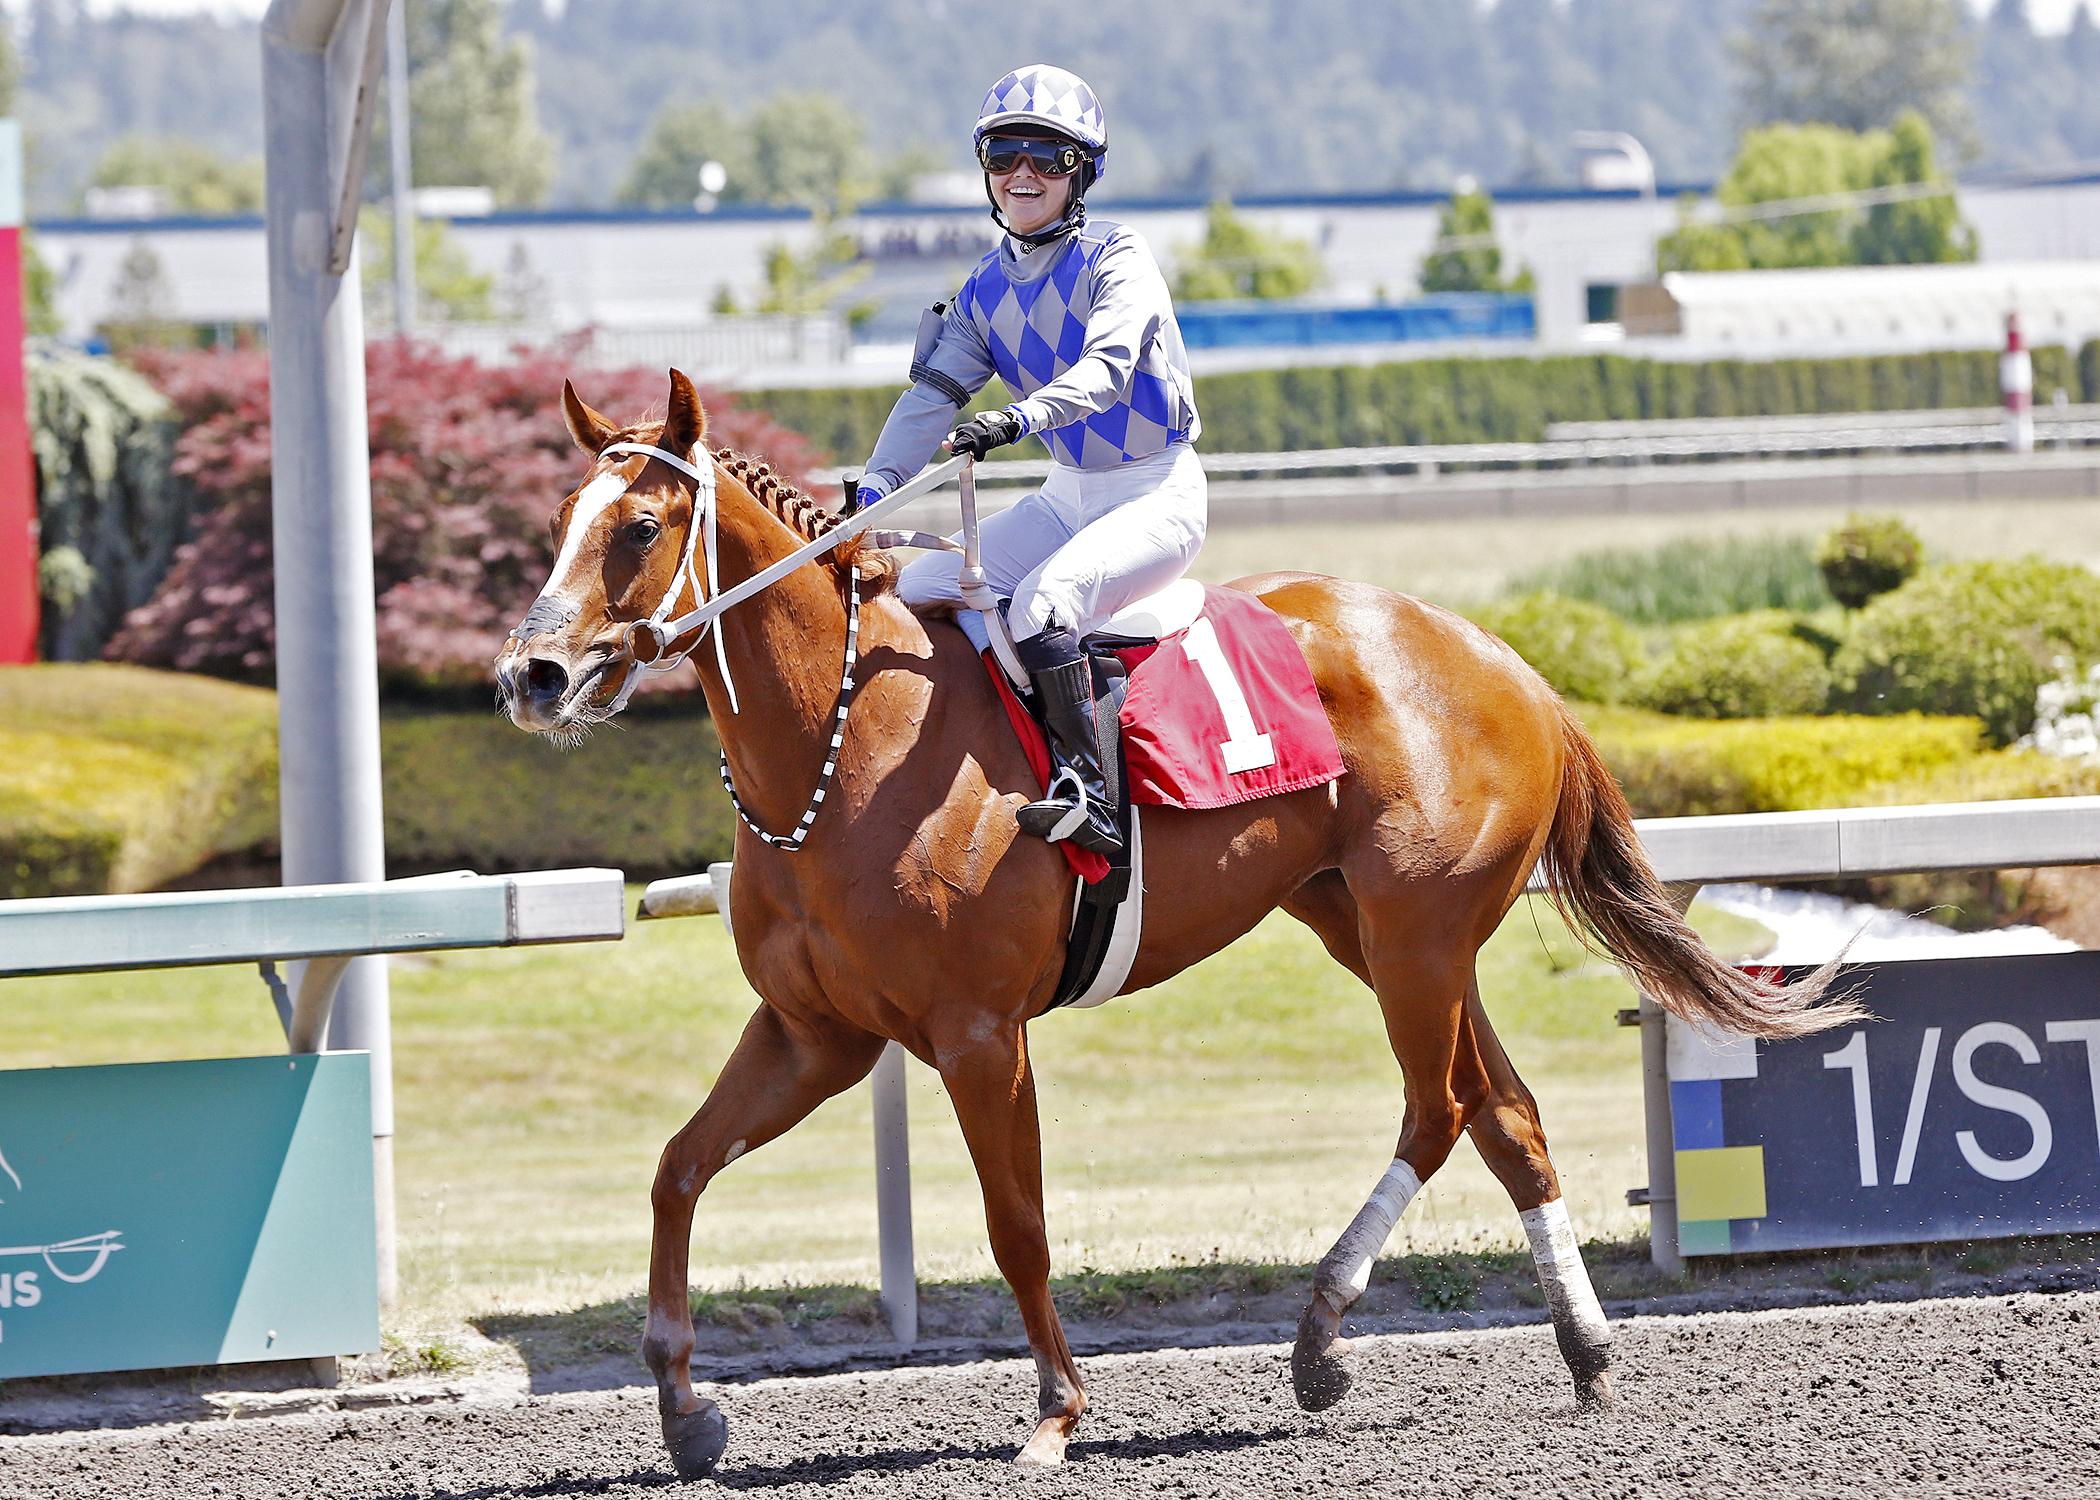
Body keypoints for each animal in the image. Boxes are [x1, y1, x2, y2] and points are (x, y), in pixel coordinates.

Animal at [494, 369, 1850, 1480]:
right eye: (556, 521)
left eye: (639, 526)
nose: (532, 677)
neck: (843, 754)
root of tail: (1504, 659)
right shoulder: (813, 1033)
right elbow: (677, 1170)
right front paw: (685, 1412)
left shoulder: (979, 1034)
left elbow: (1018, 1227)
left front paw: (1055, 1412)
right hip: (1375, 928)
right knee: (1505, 1116)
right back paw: (1585, 1352)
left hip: (1417, 932)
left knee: (1440, 1106)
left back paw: (1321, 1338)